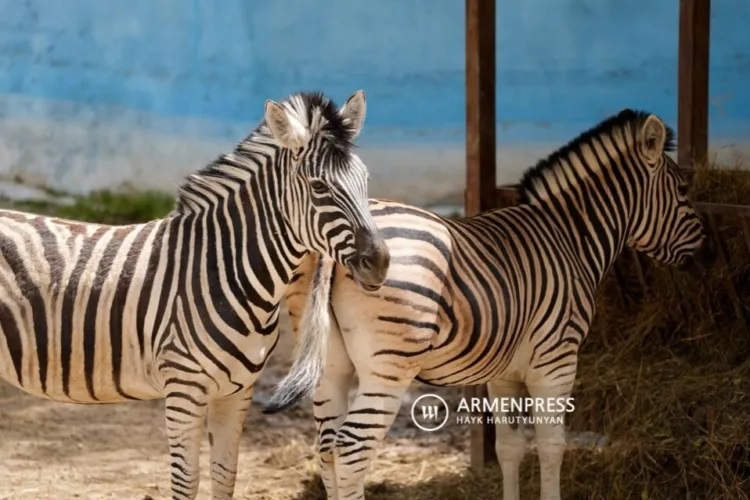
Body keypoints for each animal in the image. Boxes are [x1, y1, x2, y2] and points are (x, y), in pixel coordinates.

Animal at [0, 90, 390, 500]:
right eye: (318, 187)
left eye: (365, 181)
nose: (380, 263)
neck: (225, 268)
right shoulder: (184, 389)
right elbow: (186, 481)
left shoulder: (237, 391)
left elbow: (225, 474)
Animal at [265, 110, 714, 500]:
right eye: (683, 190)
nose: (707, 253)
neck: (570, 238)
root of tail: (335, 249)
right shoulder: (556, 361)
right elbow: (551, 446)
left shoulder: (504, 372)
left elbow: (509, 448)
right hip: (387, 369)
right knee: (350, 451)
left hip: (330, 367)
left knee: (327, 448)